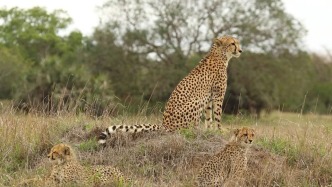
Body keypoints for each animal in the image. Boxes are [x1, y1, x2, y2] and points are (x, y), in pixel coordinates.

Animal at [97, 35, 243, 145]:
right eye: (232, 43)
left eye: (238, 42)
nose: (241, 50)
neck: (220, 55)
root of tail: (165, 125)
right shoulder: (217, 96)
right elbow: (217, 116)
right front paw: (220, 131)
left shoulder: (209, 98)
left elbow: (209, 118)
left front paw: (210, 131)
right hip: (196, 101)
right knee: (182, 130)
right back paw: (194, 132)